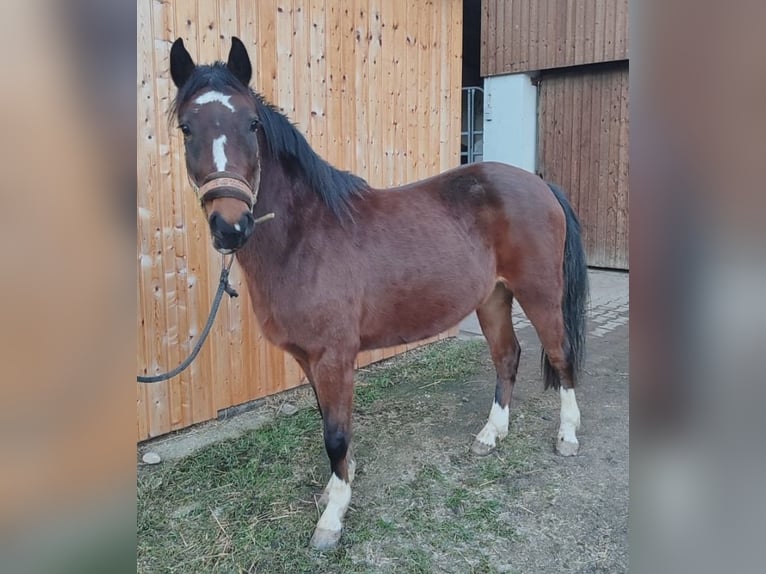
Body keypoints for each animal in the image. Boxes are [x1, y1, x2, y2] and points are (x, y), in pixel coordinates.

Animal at [166, 38, 588, 552]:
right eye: (187, 128)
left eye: (251, 124)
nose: (231, 226)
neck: (306, 237)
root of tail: (539, 183)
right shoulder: (308, 358)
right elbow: (327, 422)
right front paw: (335, 488)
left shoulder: (333, 356)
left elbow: (335, 435)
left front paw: (333, 517)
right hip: (492, 298)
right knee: (507, 357)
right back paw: (492, 435)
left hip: (540, 293)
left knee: (561, 356)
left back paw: (567, 436)